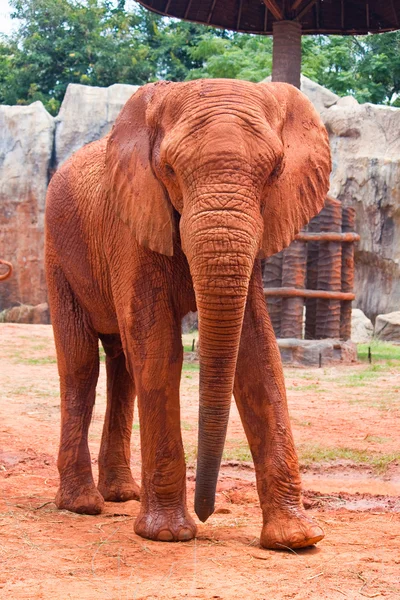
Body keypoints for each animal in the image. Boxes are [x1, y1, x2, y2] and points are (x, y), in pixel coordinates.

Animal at [45, 78, 330, 548]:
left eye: (275, 171)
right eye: (170, 170)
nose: (207, 510)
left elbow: (257, 356)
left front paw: (296, 540)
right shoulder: (132, 224)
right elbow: (159, 350)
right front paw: (168, 535)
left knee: (122, 365)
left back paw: (122, 495)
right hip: (58, 252)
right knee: (81, 364)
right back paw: (83, 504)